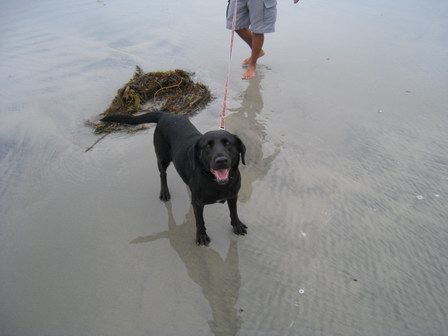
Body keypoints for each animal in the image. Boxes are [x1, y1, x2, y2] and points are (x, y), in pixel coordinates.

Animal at [101, 111, 247, 245]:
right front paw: (201, 236)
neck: (217, 183)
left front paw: (237, 225)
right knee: (162, 174)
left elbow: (233, 212)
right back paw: (164, 192)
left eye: (228, 143)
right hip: (162, 158)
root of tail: (166, 114)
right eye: (207, 146)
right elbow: (200, 221)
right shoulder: (198, 204)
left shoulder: (233, 196)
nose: (221, 161)